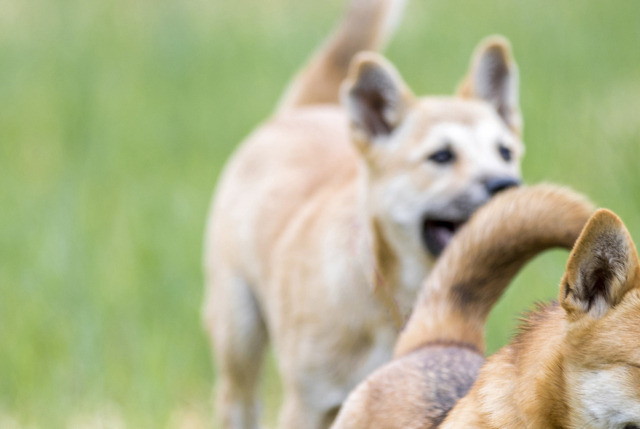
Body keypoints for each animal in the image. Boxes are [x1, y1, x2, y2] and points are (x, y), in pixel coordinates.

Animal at [204, 0, 524, 424]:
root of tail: (302, 112)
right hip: (238, 338)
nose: (506, 185)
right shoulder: (308, 405)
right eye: (441, 156)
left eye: (505, 152)